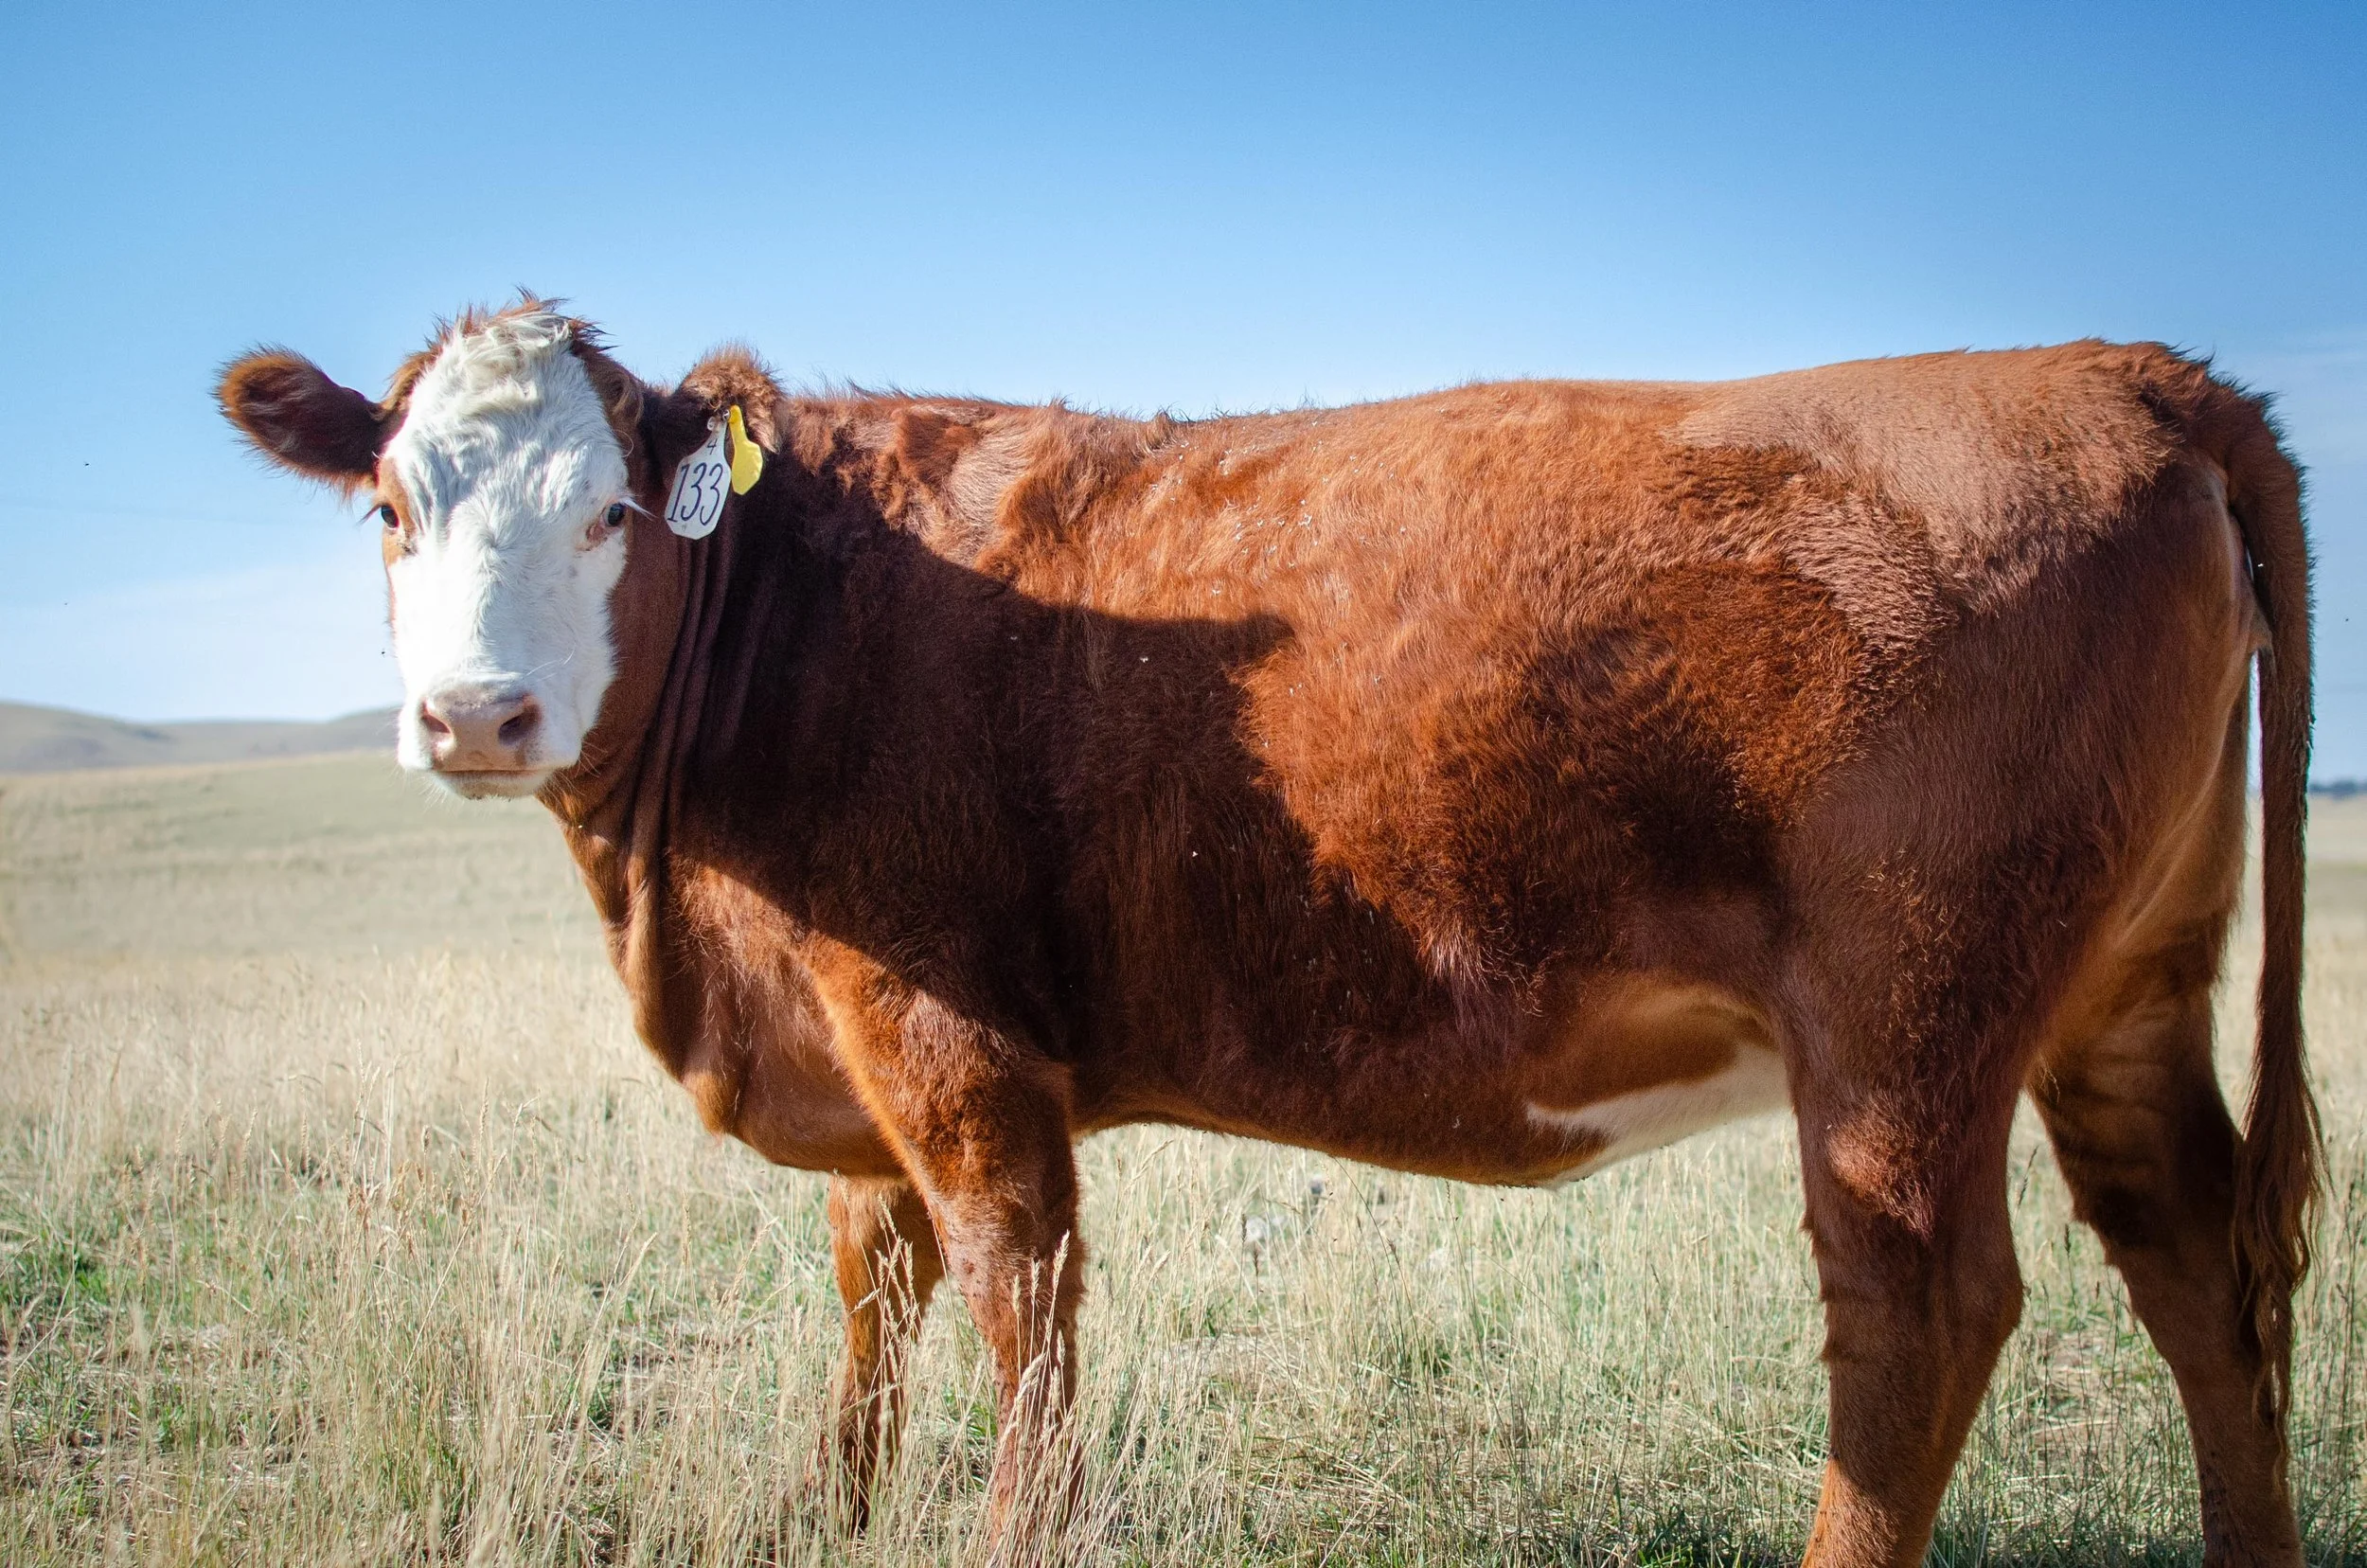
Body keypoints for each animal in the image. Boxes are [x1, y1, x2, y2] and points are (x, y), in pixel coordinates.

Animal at [218, 300, 2318, 1566]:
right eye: (393, 506)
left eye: (603, 517)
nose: (473, 716)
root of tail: (2108, 363)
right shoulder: (850, 1027)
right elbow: (869, 1287)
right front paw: (832, 1507)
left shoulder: (951, 1044)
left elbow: (1018, 1307)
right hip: (2124, 997)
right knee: (2197, 1269)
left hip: (1901, 1017)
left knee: (1917, 1315)